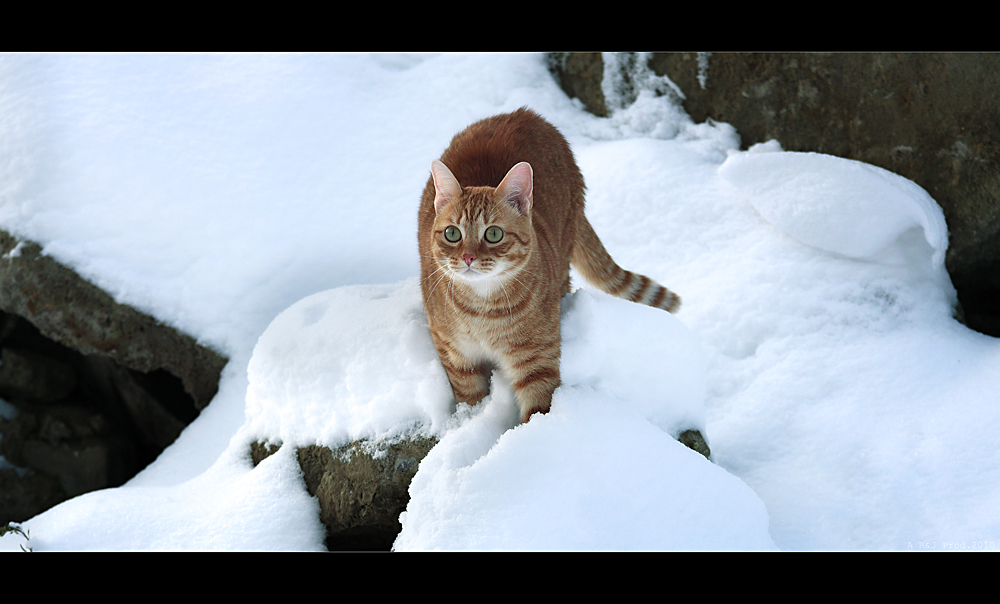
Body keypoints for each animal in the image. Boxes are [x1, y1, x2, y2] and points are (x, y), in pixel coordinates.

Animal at [418, 106, 684, 422]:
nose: (468, 257)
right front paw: (470, 423)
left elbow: (537, 411)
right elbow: (470, 397)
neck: (483, 310)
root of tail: (529, 114)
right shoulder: (455, 354)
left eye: (493, 234)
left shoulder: (537, 362)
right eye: (452, 234)